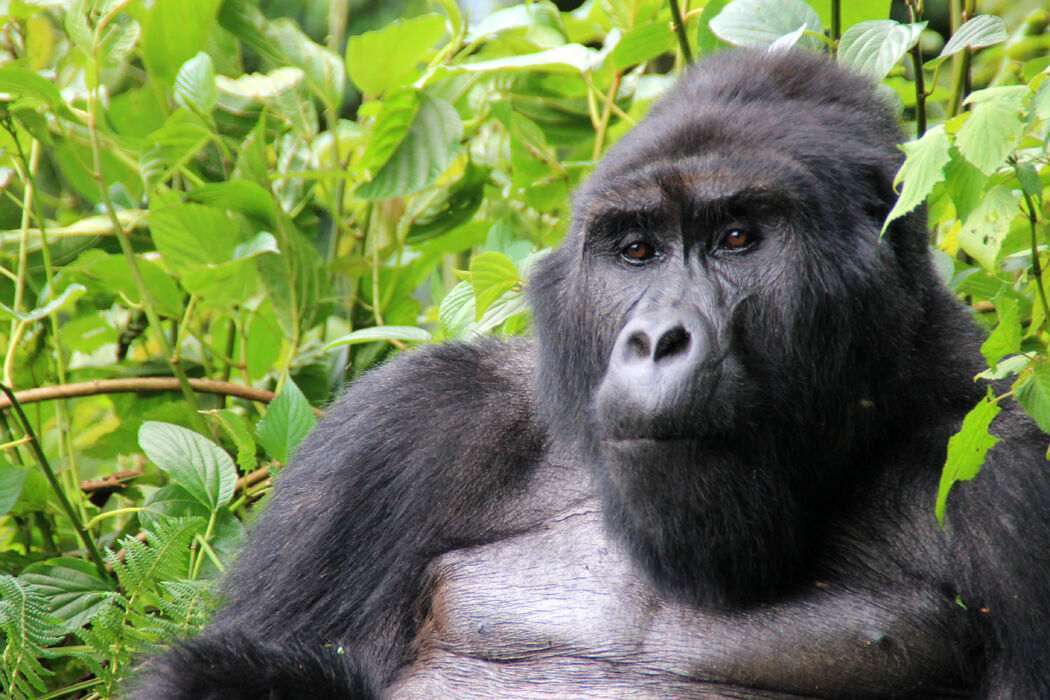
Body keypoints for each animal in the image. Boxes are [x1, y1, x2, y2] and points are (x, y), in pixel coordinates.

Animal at [129, 49, 1050, 700]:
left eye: (738, 239)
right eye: (636, 249)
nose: (655, 340)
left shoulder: (1010, 485)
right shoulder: (404, 427)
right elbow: (249, 662)